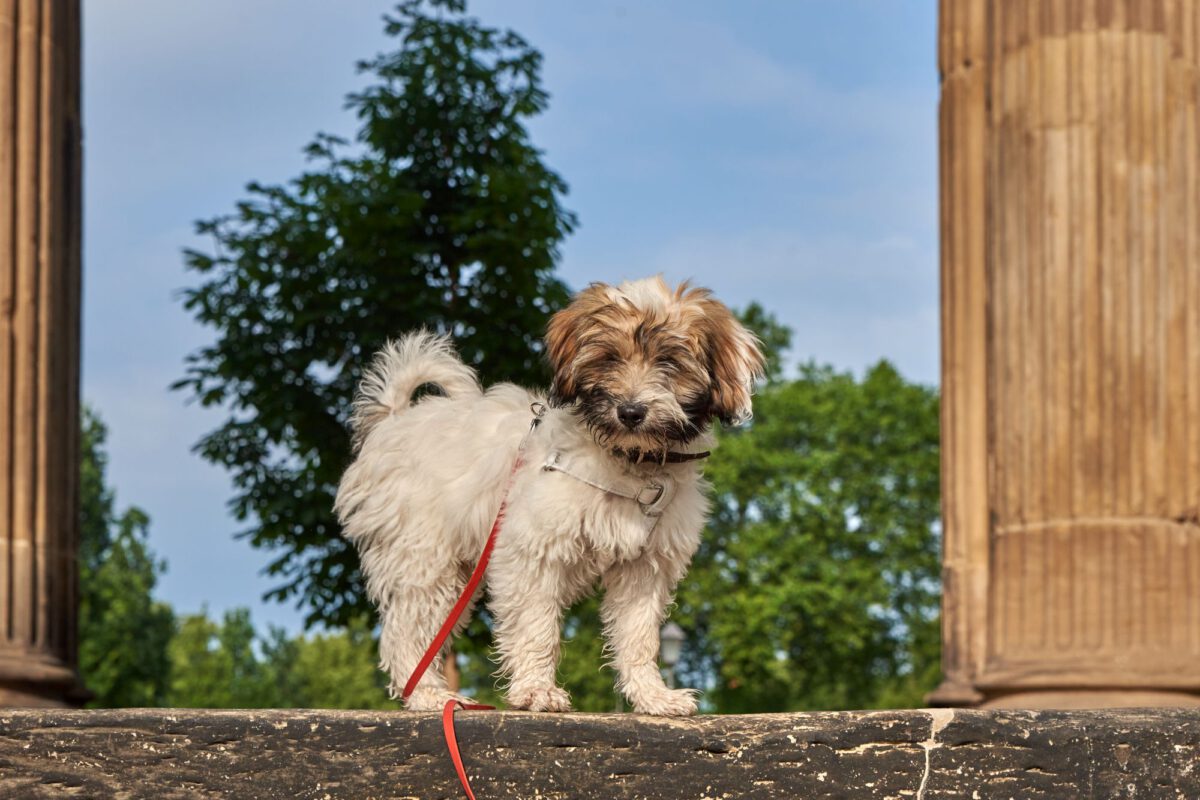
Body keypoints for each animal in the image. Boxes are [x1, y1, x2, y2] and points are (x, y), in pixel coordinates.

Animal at [333, 278, 763, 714]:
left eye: (670, 362)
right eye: (609, 358)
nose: (630, 412)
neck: (629, 462)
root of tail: (394, 421)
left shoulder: (646, 567)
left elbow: (638, 635)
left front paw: (652, 695)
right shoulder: (532, 552)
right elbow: (535, 625)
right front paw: (537, 690)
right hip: (425, 558)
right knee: (407, 631)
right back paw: (428, 694)